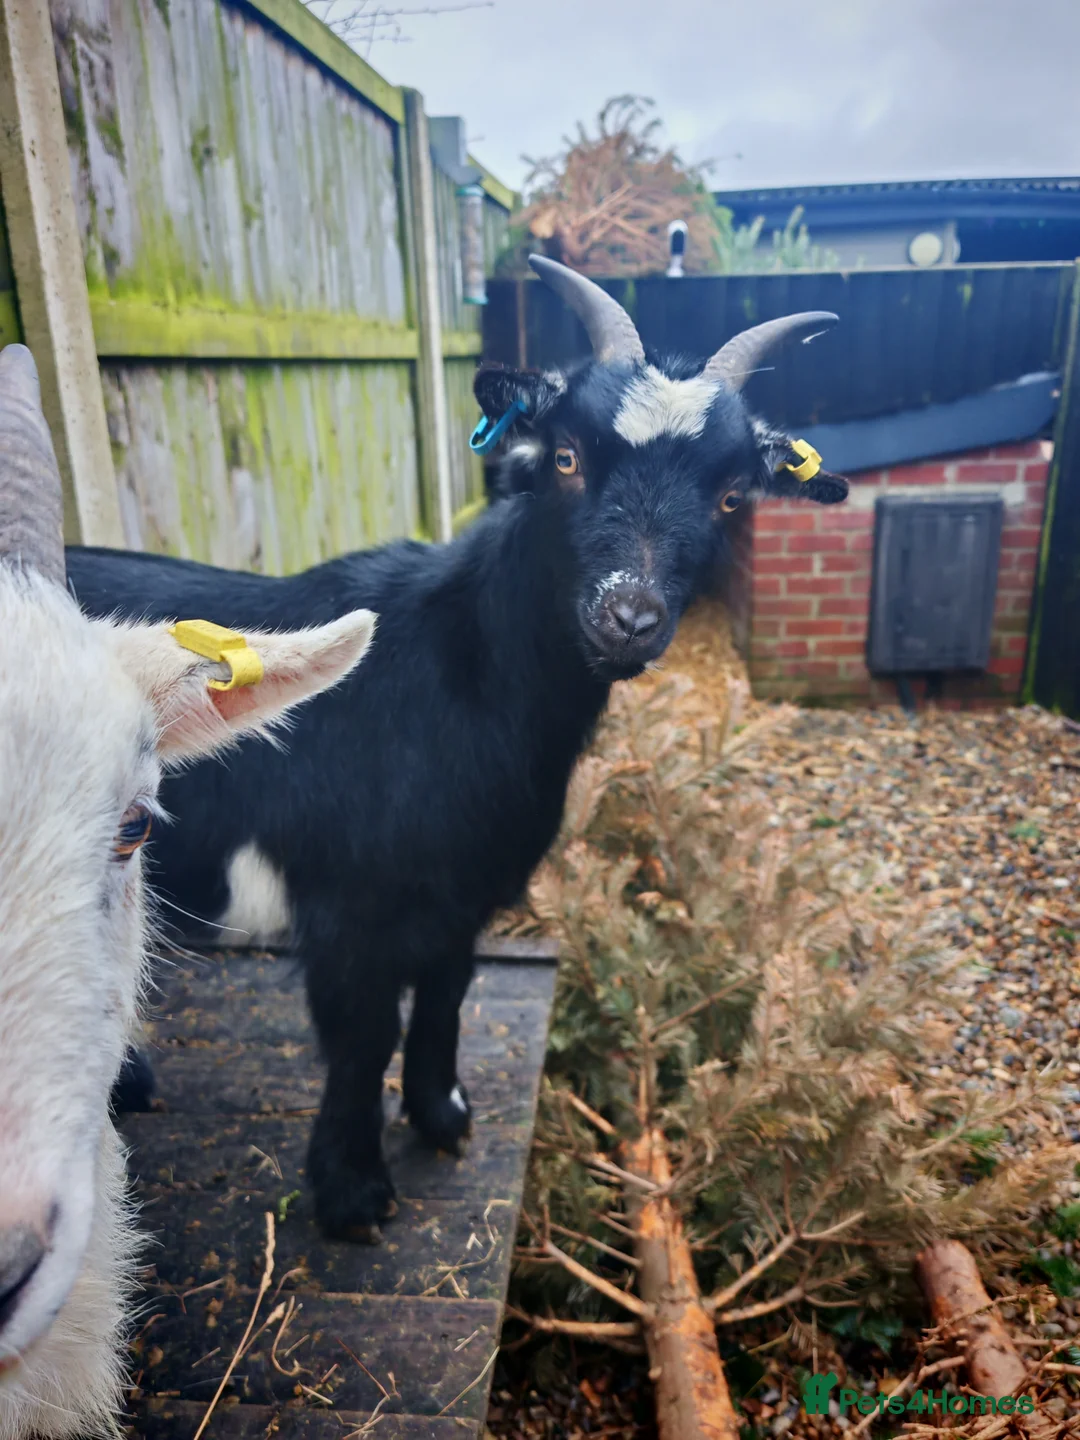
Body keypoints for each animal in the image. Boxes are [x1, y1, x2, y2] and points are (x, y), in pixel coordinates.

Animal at [65, 257, 848, 1244]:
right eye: (566, 457)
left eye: (732, 495)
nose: (627, 616)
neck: (459, 674)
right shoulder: (347, 907)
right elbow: (364, 1040)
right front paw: (352, 1193)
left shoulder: (464, 891)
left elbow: (445, 995)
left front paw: (442, 1116)